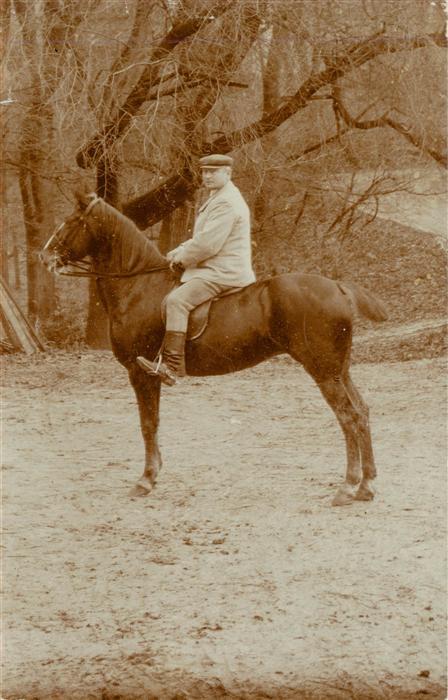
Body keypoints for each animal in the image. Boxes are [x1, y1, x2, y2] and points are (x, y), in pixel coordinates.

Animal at [41, 190, 388, 506]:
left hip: (323, 370)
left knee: (348, 417)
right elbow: (153, 423)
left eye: (71, 222)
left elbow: (148, 424)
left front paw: (146, 479)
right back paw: (366, 485)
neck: (139, 286)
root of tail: (338, 287)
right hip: (339, 370)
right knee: (362, 412)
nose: (43, 257)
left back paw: (348, 487)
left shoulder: (141, 373)